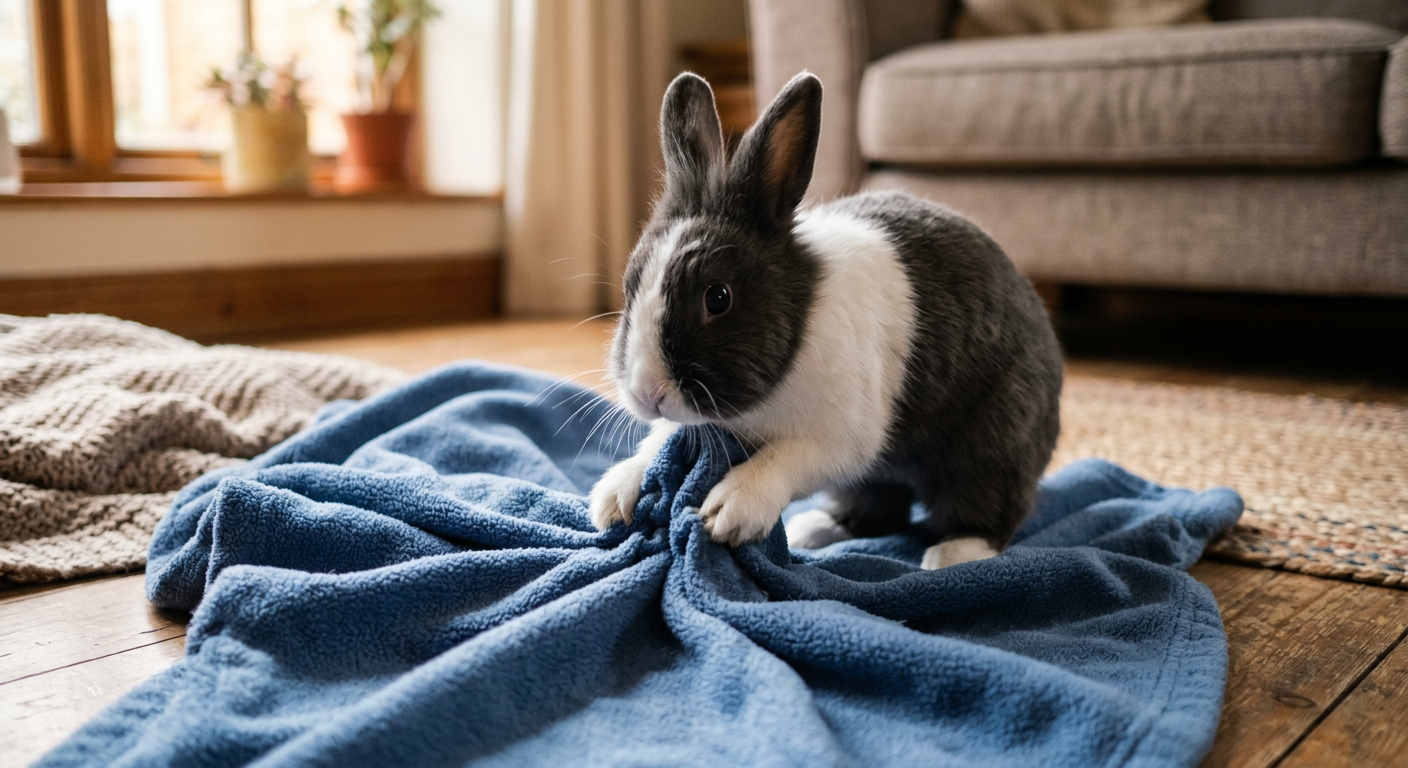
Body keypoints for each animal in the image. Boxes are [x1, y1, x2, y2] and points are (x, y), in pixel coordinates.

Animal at [588, 71, 1063, 569]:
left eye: (717, 298)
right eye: (630, 284)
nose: (648, 392)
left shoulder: (839, 441)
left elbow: (784, 460)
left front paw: (729, 511)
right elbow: (657, 443)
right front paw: (614, 497)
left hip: (992, 442)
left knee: (985, 505)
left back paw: (952, 554)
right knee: (878, 509)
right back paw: (816, 530)